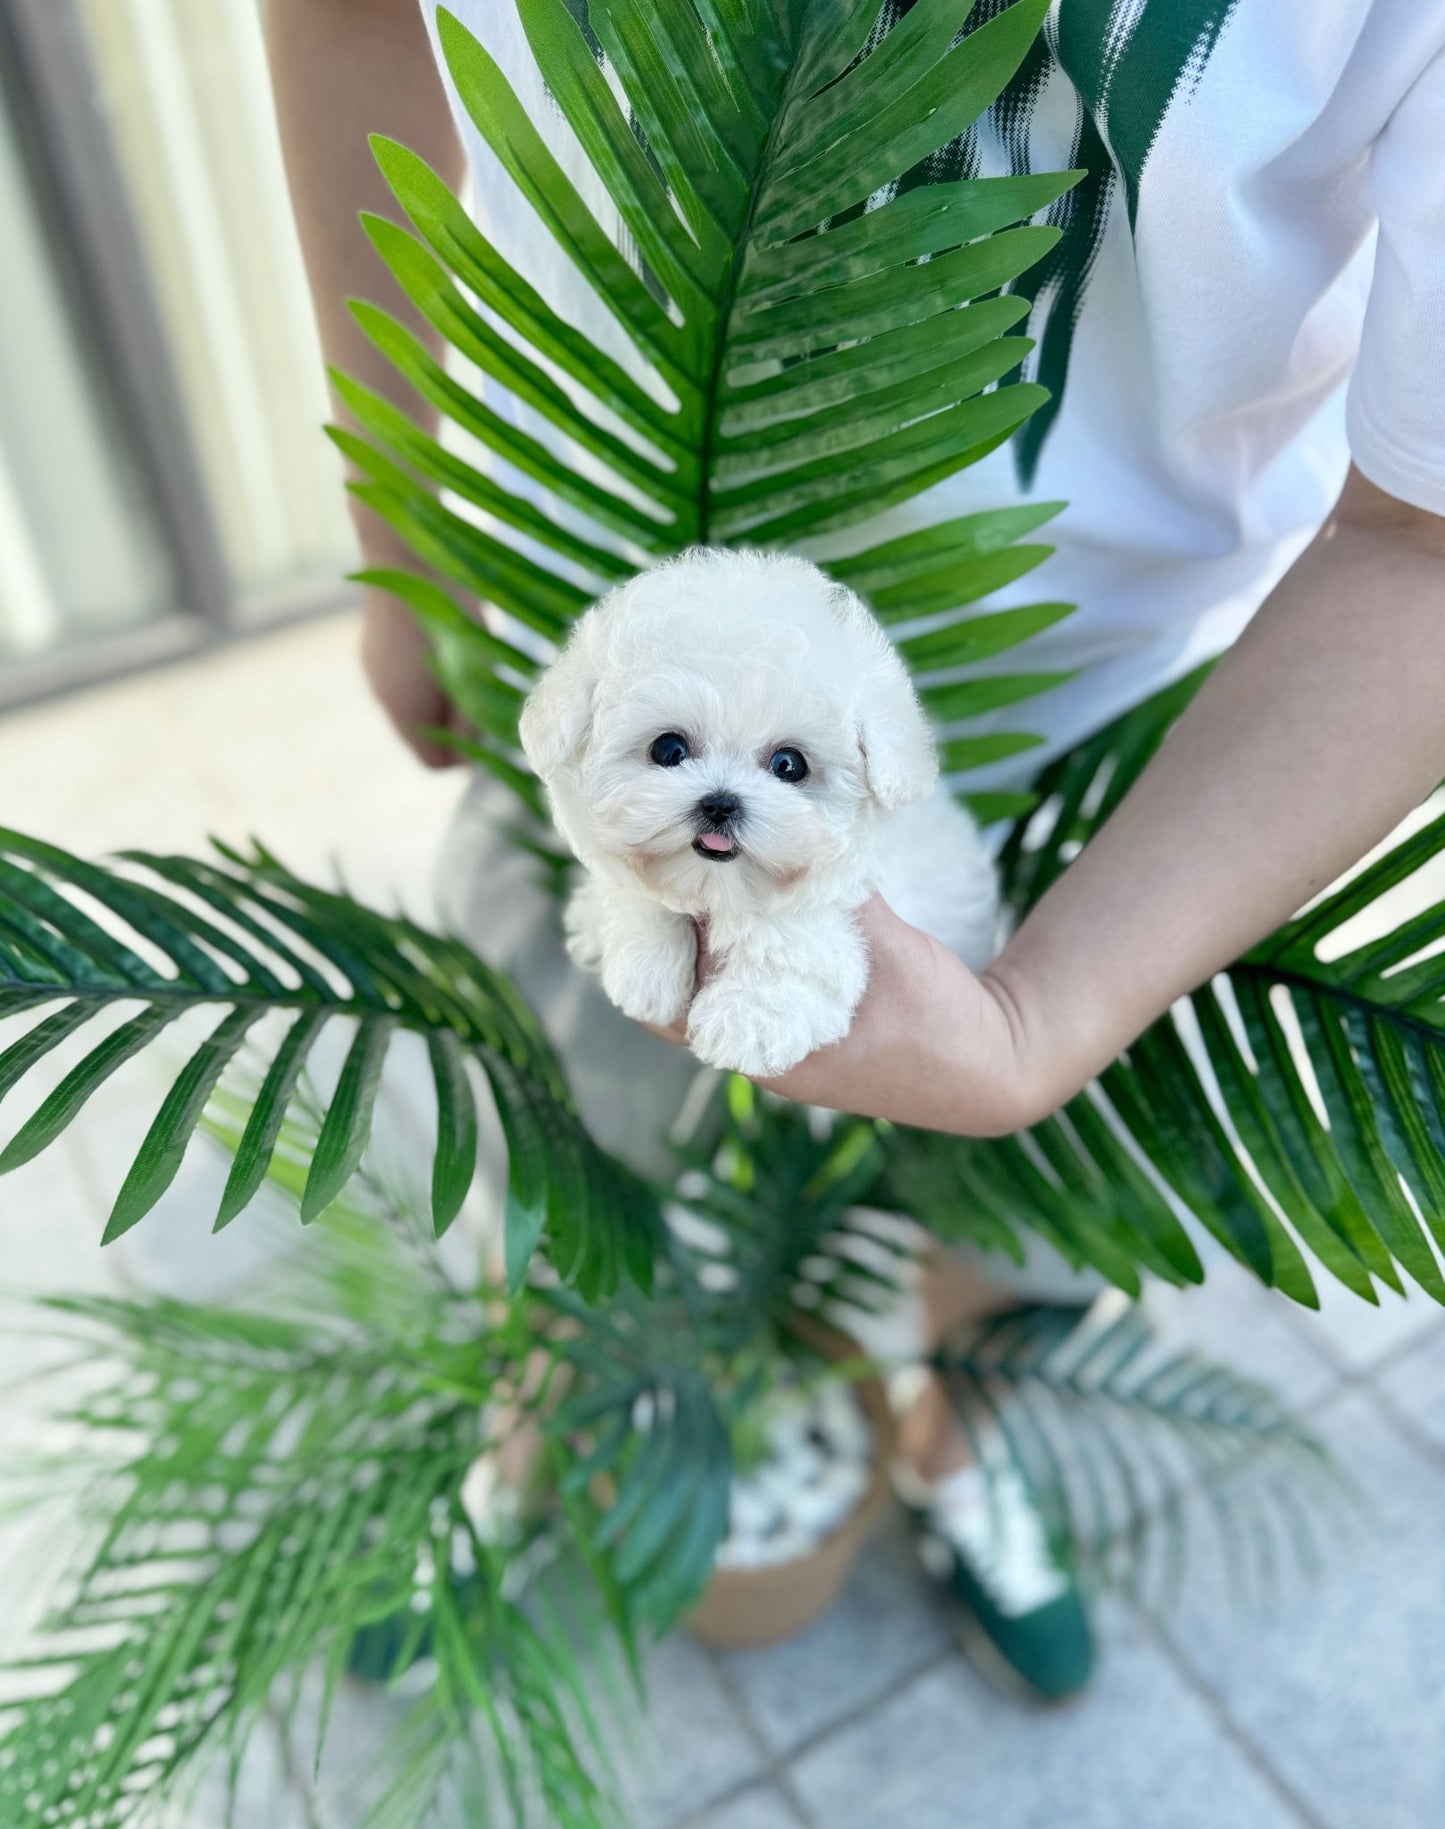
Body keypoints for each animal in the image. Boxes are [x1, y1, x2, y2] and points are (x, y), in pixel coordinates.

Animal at [519, 548, 1009, 1075]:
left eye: (788, 765)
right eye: (669, 749)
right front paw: (645, 965)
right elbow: (633, 889)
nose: (720, 802)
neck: (720, 889)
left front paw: (749, 1018)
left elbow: (791, 929)